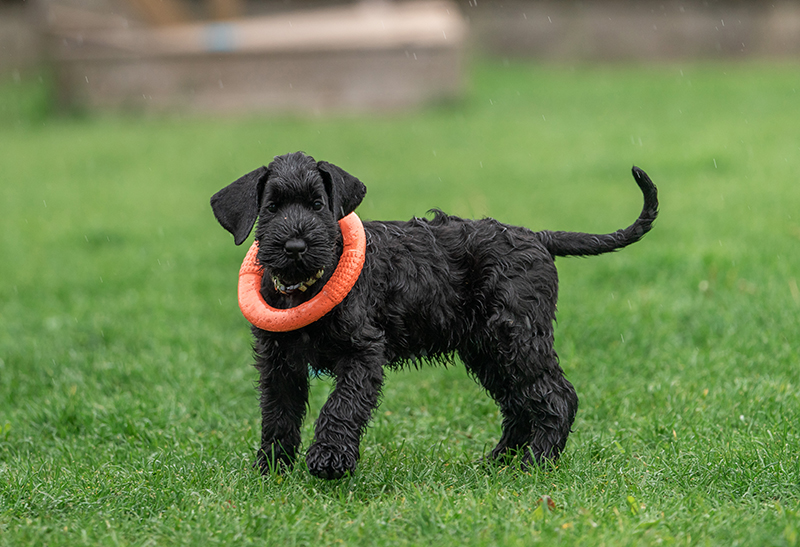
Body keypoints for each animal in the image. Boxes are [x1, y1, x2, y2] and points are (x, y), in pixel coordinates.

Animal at [209, 151, 660, 480]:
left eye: (318, 205)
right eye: (271, 208)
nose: (296, 246)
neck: (307, 284)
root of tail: (538, 237)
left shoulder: (362, 352)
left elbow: (341, 405)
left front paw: (329, 459)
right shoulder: (279, 361)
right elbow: (278, 413)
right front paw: (270, 469)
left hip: (516, 338)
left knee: (556, 396)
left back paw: (538, 462)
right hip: (488, 350)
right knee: (519, 404)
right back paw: (499, 461)